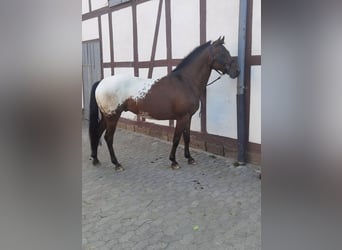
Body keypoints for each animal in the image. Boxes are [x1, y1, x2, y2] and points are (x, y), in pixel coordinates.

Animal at [88, 36, 239, 171]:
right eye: (223, 53)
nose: (236, 72)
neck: (185, 81)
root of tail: (101, 82)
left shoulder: (188, 117)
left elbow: (187, 137)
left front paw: (189, 158)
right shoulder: (181, 118)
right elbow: (177, 139)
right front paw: (174, 161)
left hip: (106, 116)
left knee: (97, 133)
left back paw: (96, 159)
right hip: (113, 117)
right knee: (108, 138)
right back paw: (116, 164)